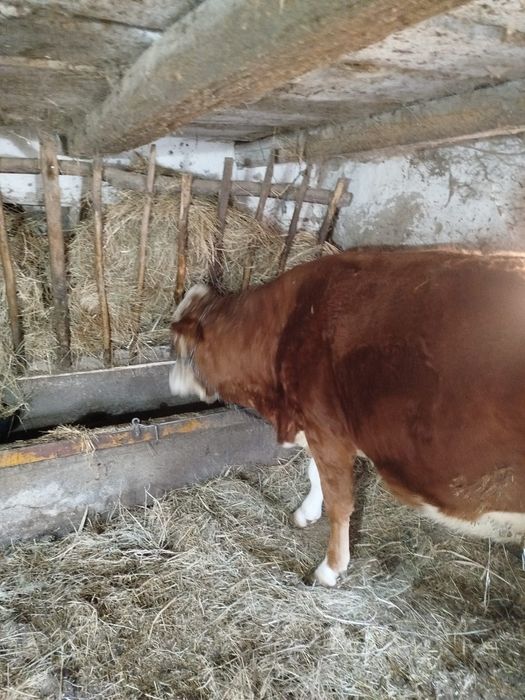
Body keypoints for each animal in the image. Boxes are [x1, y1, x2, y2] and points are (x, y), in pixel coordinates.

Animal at [169, 247, 525, 586]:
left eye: (177, 348)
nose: (170, 383)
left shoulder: (326, 429)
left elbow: (339, 501)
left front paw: (329, 568)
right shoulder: (323, 430)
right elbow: (315, 475)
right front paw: (307, 513)